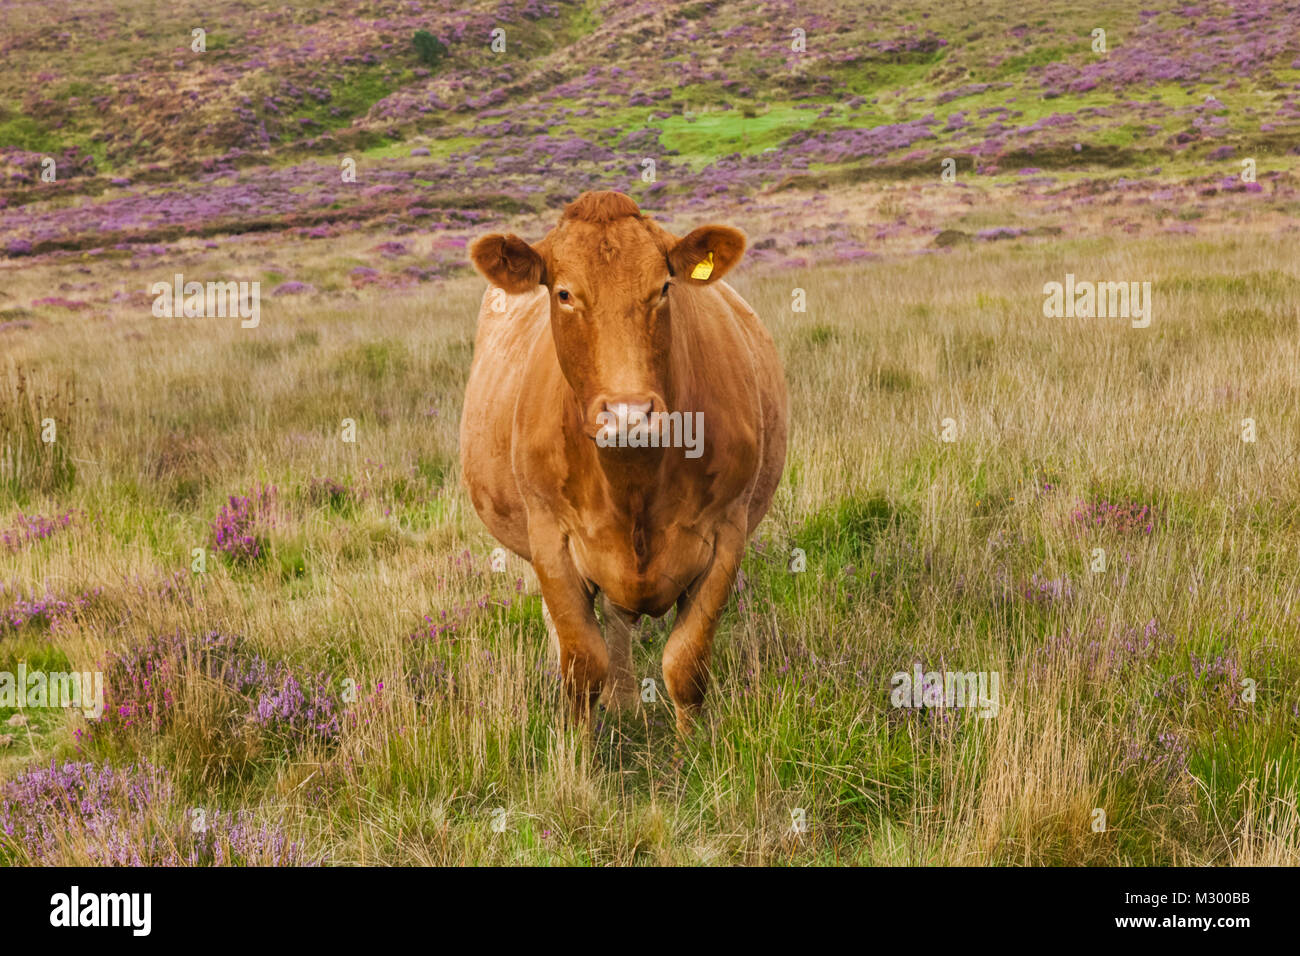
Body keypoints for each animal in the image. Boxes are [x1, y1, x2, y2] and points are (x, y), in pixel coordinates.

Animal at [460, 190, 788, 735]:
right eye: (565, 294)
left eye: (663, 288)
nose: (628, 413)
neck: (633, 480)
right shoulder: (550, 539)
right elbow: (581, 665)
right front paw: (577, 752)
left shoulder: (727, 532)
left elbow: (686, 664)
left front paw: (692, 749)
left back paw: (627, 699)